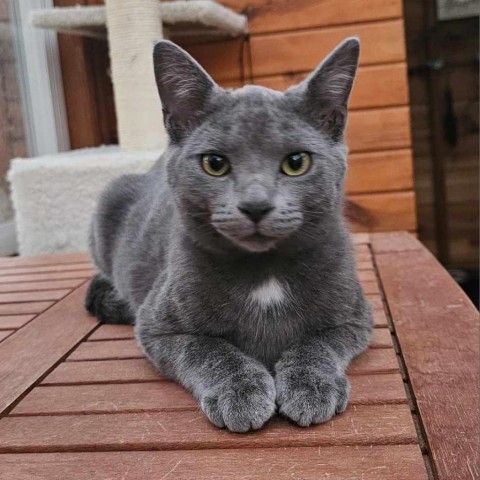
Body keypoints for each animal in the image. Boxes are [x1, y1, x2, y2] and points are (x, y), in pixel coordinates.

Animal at [85, 39, 372, 434]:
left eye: (296, 162)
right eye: (215, 164)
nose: (255, 205)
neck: (265, 271)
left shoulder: (356, 318)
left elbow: (318, 343)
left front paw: (311, 386)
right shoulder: (157, 327)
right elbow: (209, 349)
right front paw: (241, 392)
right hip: (106, 206)